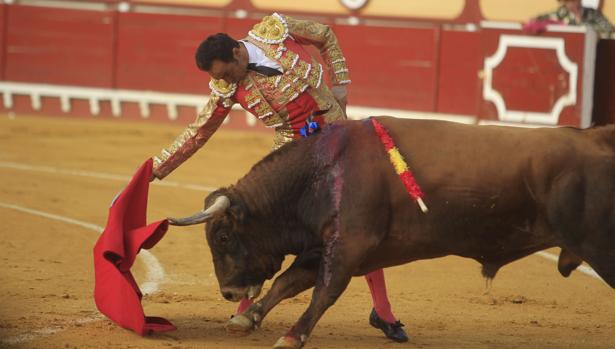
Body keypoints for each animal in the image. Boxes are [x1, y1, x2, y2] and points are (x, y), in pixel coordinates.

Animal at [168, 117, 615, 348]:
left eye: (223, 237)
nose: (228, 294)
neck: (323, 171)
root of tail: (597, 136)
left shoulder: (349, 243)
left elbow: (323, 290)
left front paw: (291, 336)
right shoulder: (326, 243)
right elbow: (288, 281)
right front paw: (249, 318)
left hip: (601, 246)